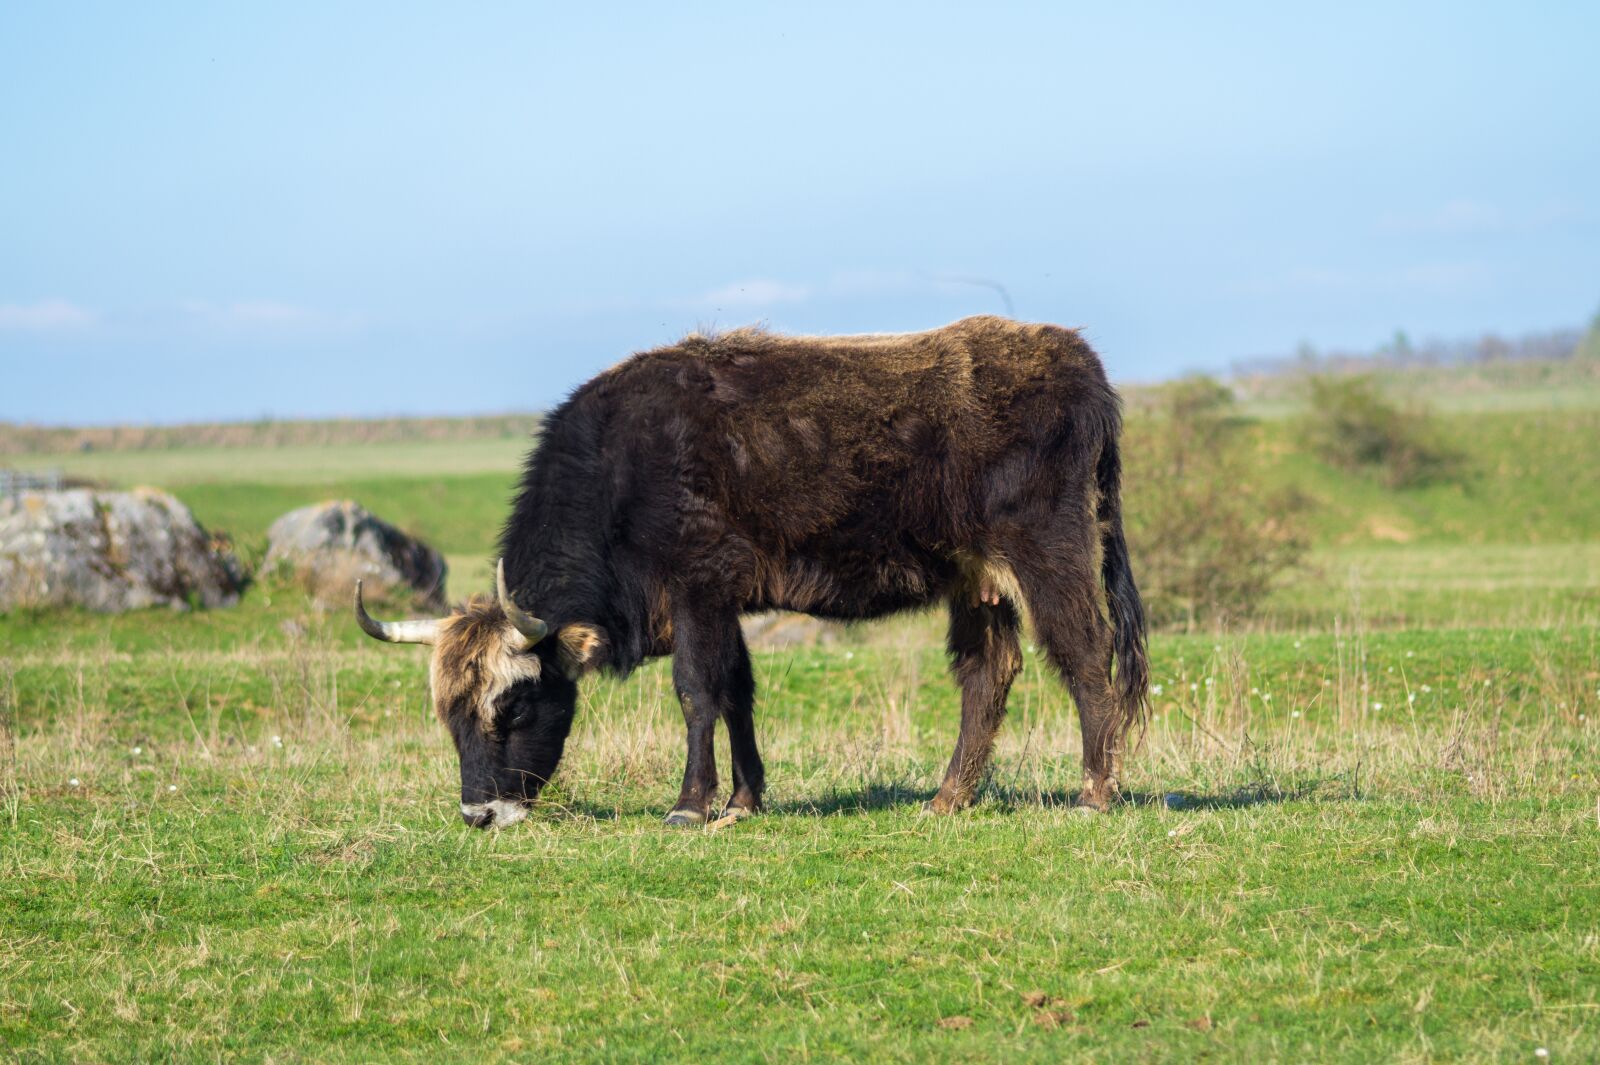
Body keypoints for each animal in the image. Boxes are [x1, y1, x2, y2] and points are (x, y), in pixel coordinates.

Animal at [354, 315, 1149, 828]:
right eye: (449, 716)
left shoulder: (700, 586)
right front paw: (744, 800)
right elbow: (738, 692)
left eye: (513, 706)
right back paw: (947, 798)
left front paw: (689, 806)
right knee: (988, 673)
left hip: (1050, 551)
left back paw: (1093, 794)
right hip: (975, 579)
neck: (622, 469)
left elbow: (696, 691)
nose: (479, 813)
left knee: (1085, 653)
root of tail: (1078, 360)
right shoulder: (726, 602)